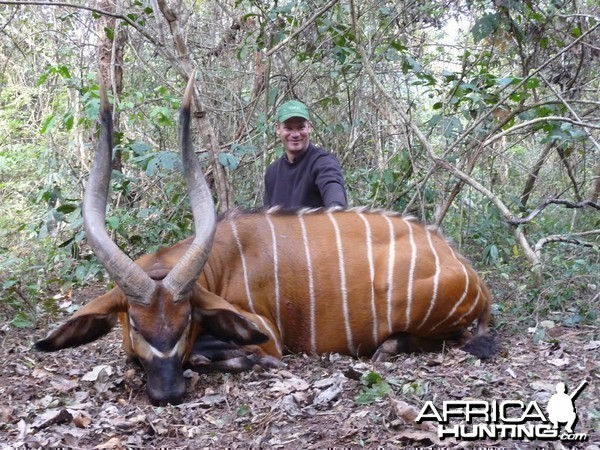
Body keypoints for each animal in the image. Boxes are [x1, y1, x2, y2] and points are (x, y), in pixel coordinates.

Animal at [37, 75, 496, 406]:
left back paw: (389, 347)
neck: (220, 263)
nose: (168, 394)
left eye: (187, 320)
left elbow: (232, 352)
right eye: (134, 322)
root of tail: (469, 272)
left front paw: (244, 361)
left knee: (458, 340)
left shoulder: (266, 334)